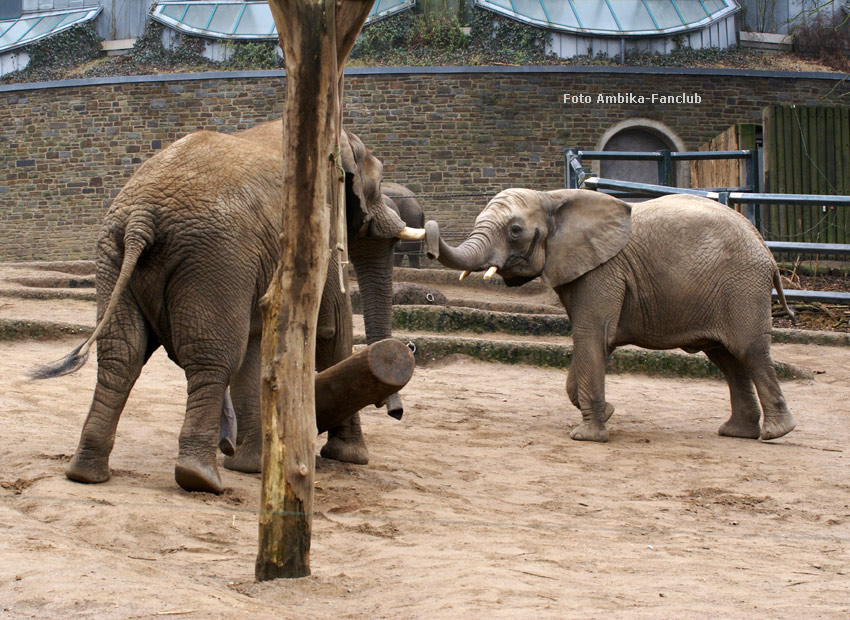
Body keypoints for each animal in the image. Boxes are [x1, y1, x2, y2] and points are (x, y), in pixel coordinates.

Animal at [36, 121, 424, 494]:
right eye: (376, 184)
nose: (397, 413)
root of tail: (141, 218)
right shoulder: (316, 227)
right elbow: (332, 330)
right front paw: (350, 456)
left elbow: (256, 344)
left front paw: (250, 466)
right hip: (213, 256)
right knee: (213, 357)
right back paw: (200, 479)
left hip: (114, 252)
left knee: (122, 354)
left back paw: (86, 473)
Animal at [428, 186, 800, 444]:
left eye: (515, 231)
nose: (430, 229)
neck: (553, 198)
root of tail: (766, 249)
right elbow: (594, 344)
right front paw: (607, 413)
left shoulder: (603, 271)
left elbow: (591, 336)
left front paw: (587, 437)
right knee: (727, 359)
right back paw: (737, 433)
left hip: (742, 287)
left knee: (749, 351)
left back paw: (776, 433)